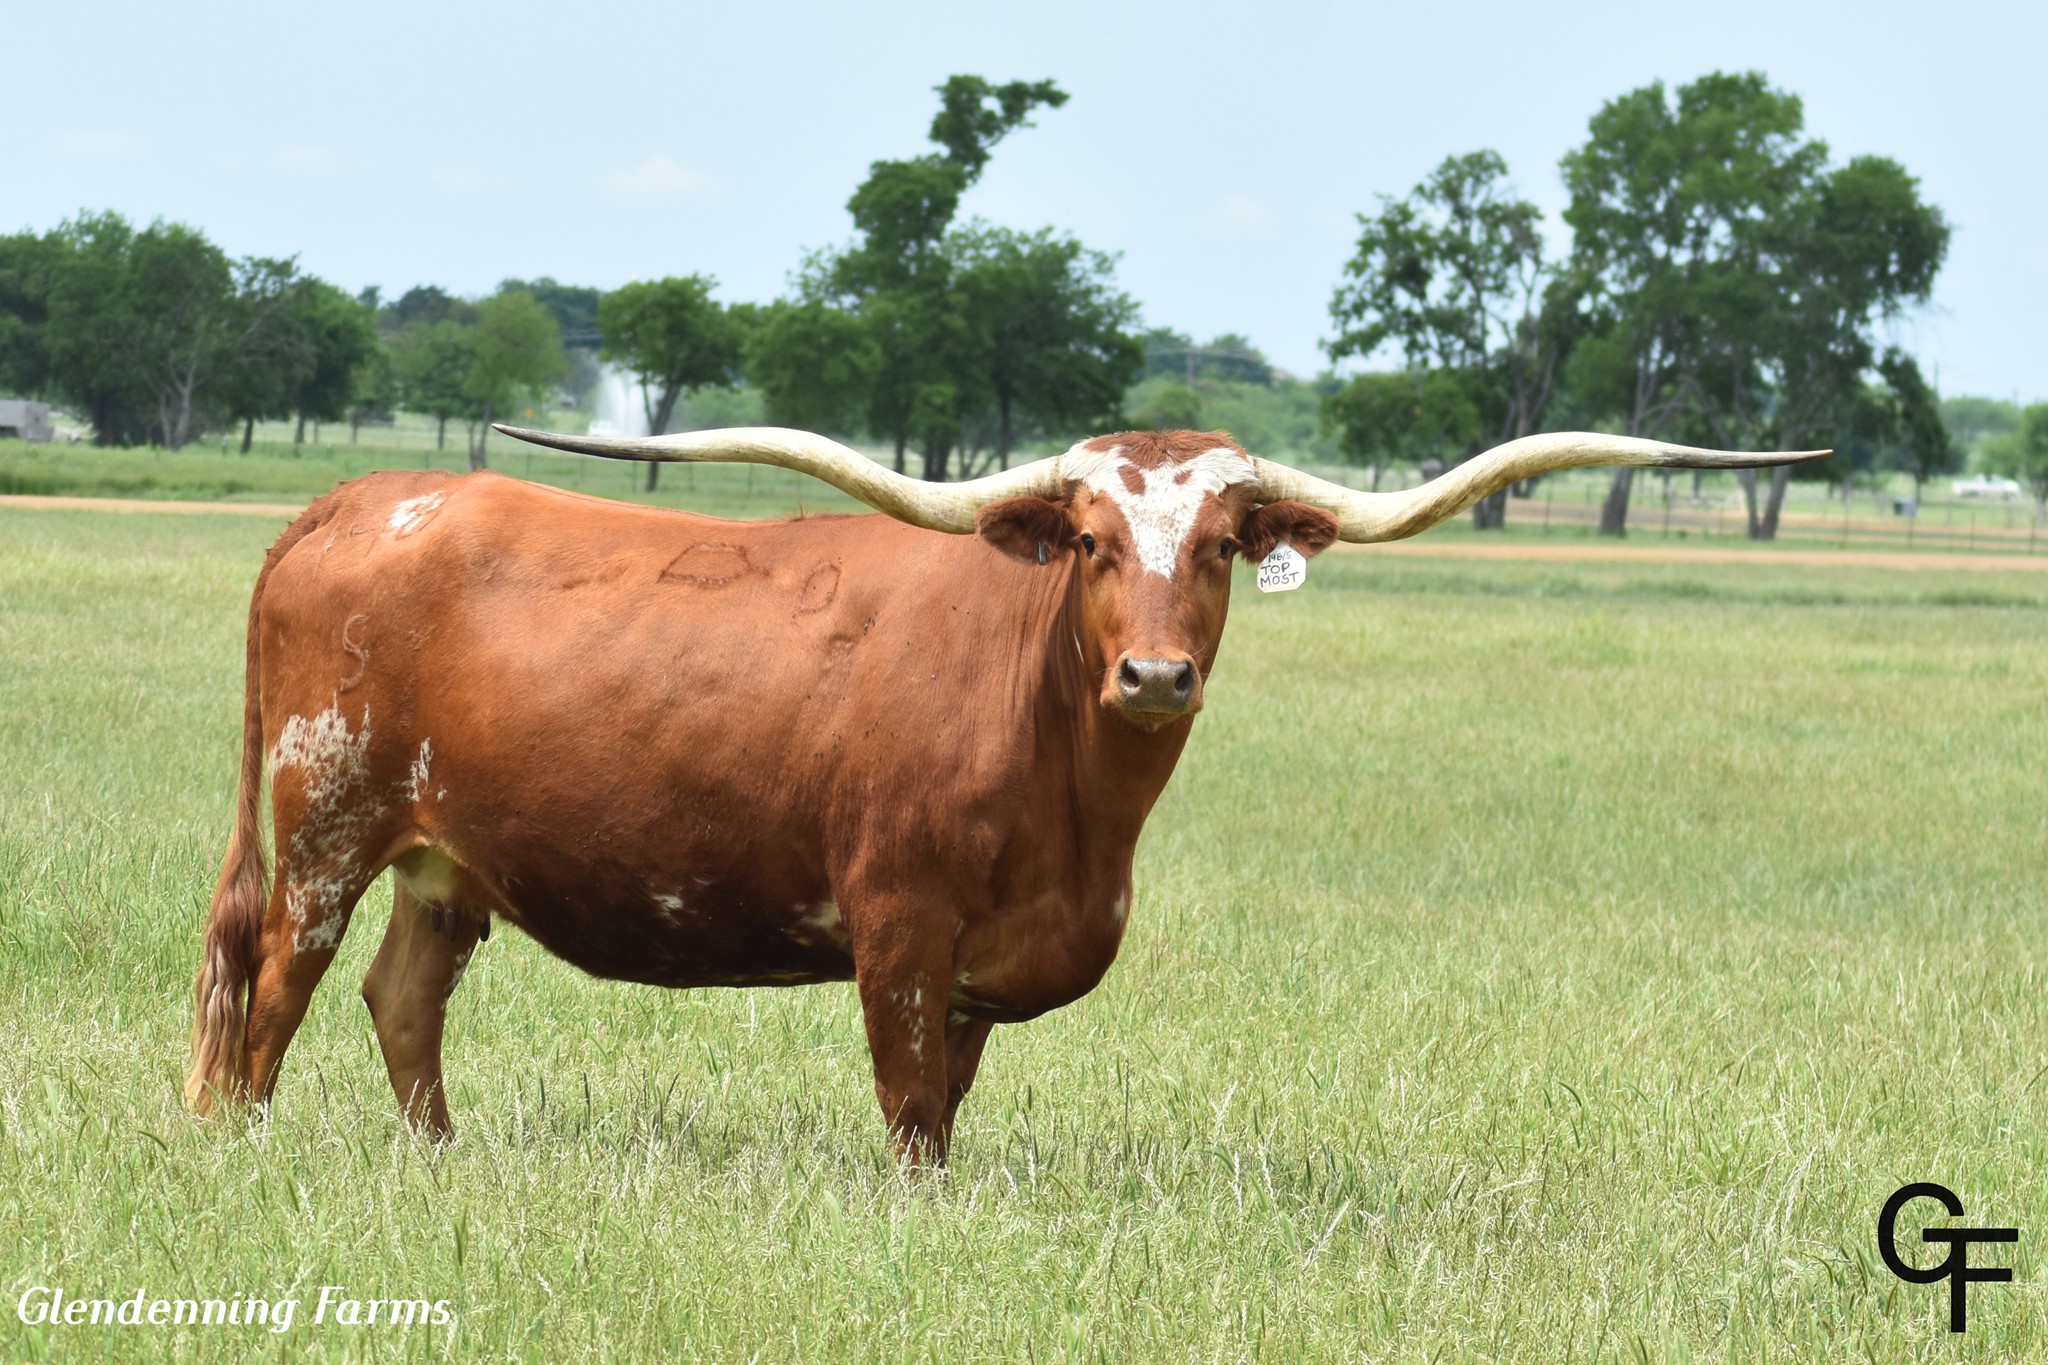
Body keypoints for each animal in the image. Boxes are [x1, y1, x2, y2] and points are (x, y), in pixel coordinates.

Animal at [185, 425, 1822, 1161]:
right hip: (326, 819)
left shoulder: (978, 970)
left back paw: (440, 1157)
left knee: (402, 995)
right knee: (273, 990)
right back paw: (245, 1144)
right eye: (1090, 541)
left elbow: (951, 1112)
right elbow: (909, 1115)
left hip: (442, 858)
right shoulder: (900, 932)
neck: (1077, 817)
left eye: (1220, 547)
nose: (1153, 676)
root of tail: (358, 498)